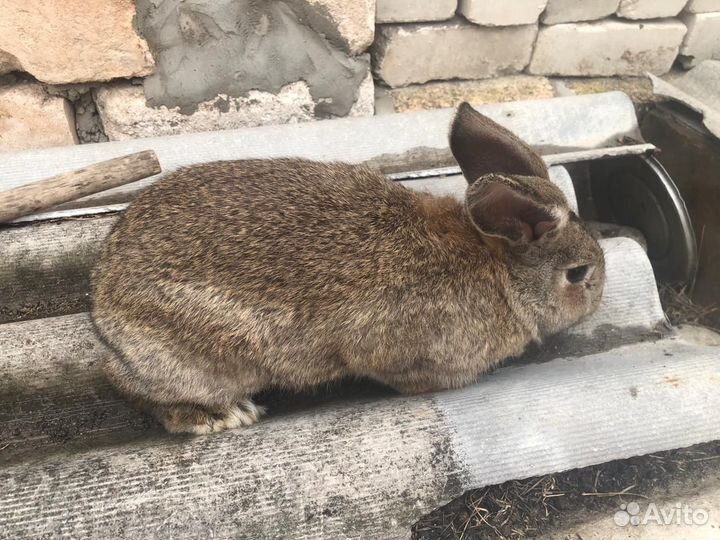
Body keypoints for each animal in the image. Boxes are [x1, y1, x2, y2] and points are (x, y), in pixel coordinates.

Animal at [91, 103, 605, 434]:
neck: (499, 270)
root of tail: (104, 308)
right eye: (578, 274)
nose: (599, 296)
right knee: (137, 391)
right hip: (199, 362)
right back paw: (220, 416)